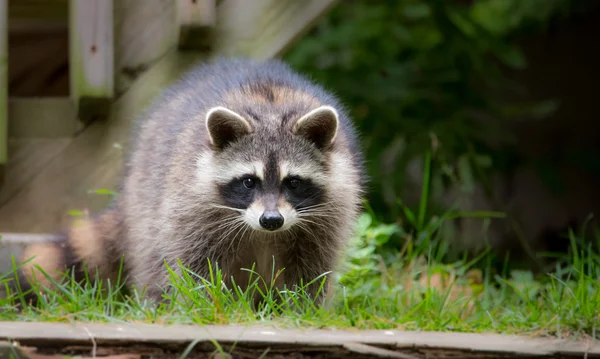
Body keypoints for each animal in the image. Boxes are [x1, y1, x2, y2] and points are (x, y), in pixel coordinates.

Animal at [9, 57, 366, 308]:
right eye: (248, 182)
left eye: (293, 183)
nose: (271, 220)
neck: (270, 102)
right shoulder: (192, 203)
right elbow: (194, 263)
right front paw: (203, 304)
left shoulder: (330, 209)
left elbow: (311, 268)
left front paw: (298, 308)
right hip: (150, 194)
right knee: (154, 253)